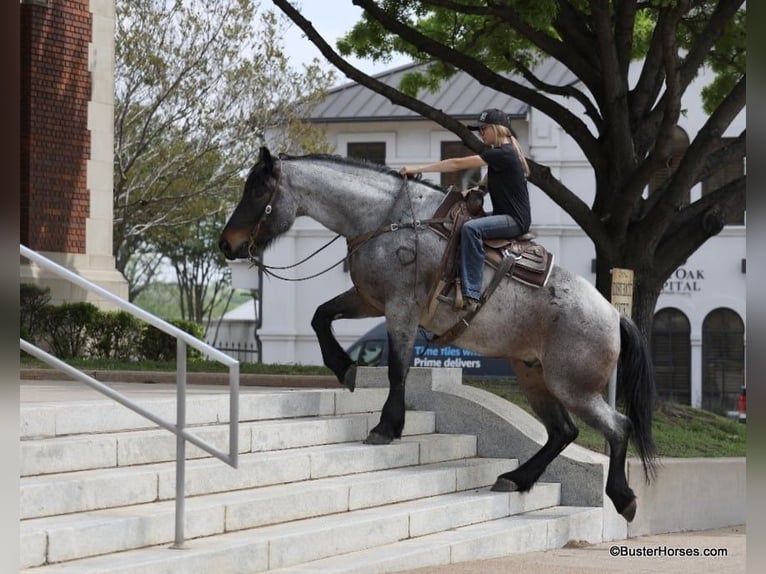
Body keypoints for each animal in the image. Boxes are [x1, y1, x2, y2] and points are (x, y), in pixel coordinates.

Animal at [219, 146, 656, 524]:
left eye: (258, 190)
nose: (227, 243)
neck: (388, 220)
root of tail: (612, 315)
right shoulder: (368, 300)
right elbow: (319, 317)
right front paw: (345, 367)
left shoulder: (400, 309)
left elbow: (397, 369)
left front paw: (386, 427)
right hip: (533, 374)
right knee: (562, 432)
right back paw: (515, 479)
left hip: (573, 386)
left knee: (618, 427)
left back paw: (623, 497)